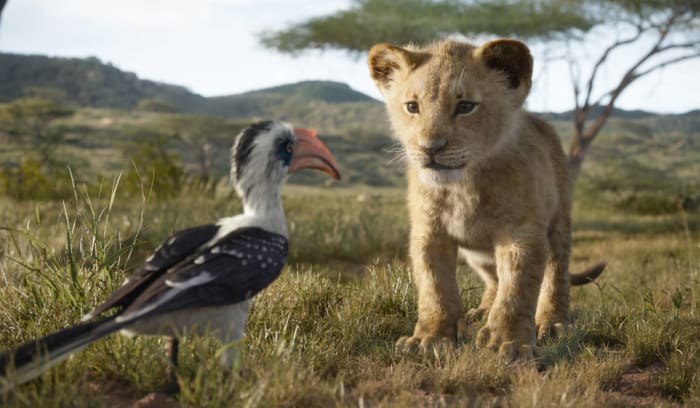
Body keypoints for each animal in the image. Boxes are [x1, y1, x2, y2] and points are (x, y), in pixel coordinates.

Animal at [367, 38, 605, 360]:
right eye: (412, 107)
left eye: (465, 106)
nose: (430, 148)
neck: (463, 186)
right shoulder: (429, 232)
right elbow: (435, 287)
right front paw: (430, 339)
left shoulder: (522, 233)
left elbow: (517, 289)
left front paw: (510, 343)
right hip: (477, 254)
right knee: (493, 279)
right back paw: (480, 312)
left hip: (559, 221)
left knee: (556, 273)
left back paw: (552, 323)